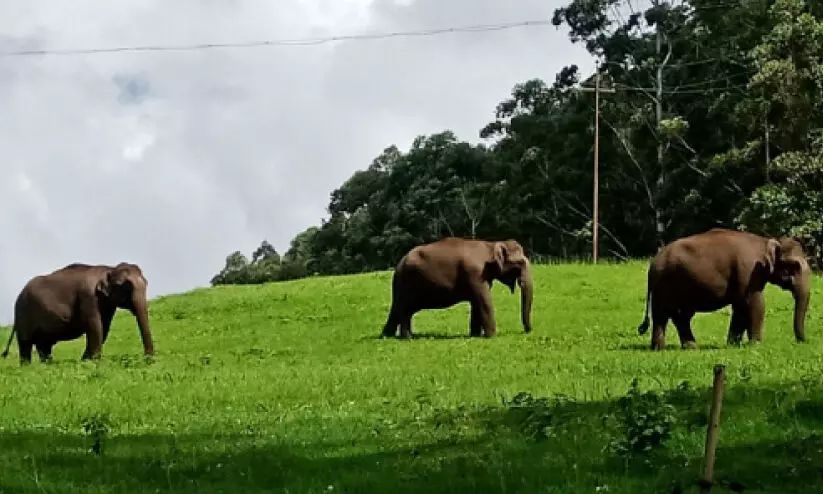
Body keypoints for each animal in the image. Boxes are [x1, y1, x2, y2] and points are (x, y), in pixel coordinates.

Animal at [1, 262, 156, 362]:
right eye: (123, 286)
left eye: (147, 283)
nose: (149, 359)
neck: (109, 269)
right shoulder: (88, 297)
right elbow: (95, 326)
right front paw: (93, 361)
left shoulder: (107, 304)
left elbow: (104, 328)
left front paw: (86, 360)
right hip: (23, 314)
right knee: (26, 344)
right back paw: (27, 366)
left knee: (44, 345)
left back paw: (49, 364)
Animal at [380, 238, 536, 340]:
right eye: (520, 263)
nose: (528, 331)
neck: (490, 244)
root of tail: (399, 263)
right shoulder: (476, 274)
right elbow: (484, 302)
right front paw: (492, 336)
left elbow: (476, 304)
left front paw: (475, 335)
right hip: (408, 284)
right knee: (404, 310)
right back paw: (406, 337)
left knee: (400, 310)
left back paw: (388, 336)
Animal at [636, 229, 812, 352]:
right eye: (794, 265)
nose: (802, 341)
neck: (765, 241)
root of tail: (653, 263)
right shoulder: (749, 271)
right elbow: (755, 303)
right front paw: (755, 345)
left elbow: (740, 307)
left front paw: (733, 344)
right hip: (664, 284)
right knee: (662, 314)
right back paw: (659, 349)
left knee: (681, 316)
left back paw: (691, 347)